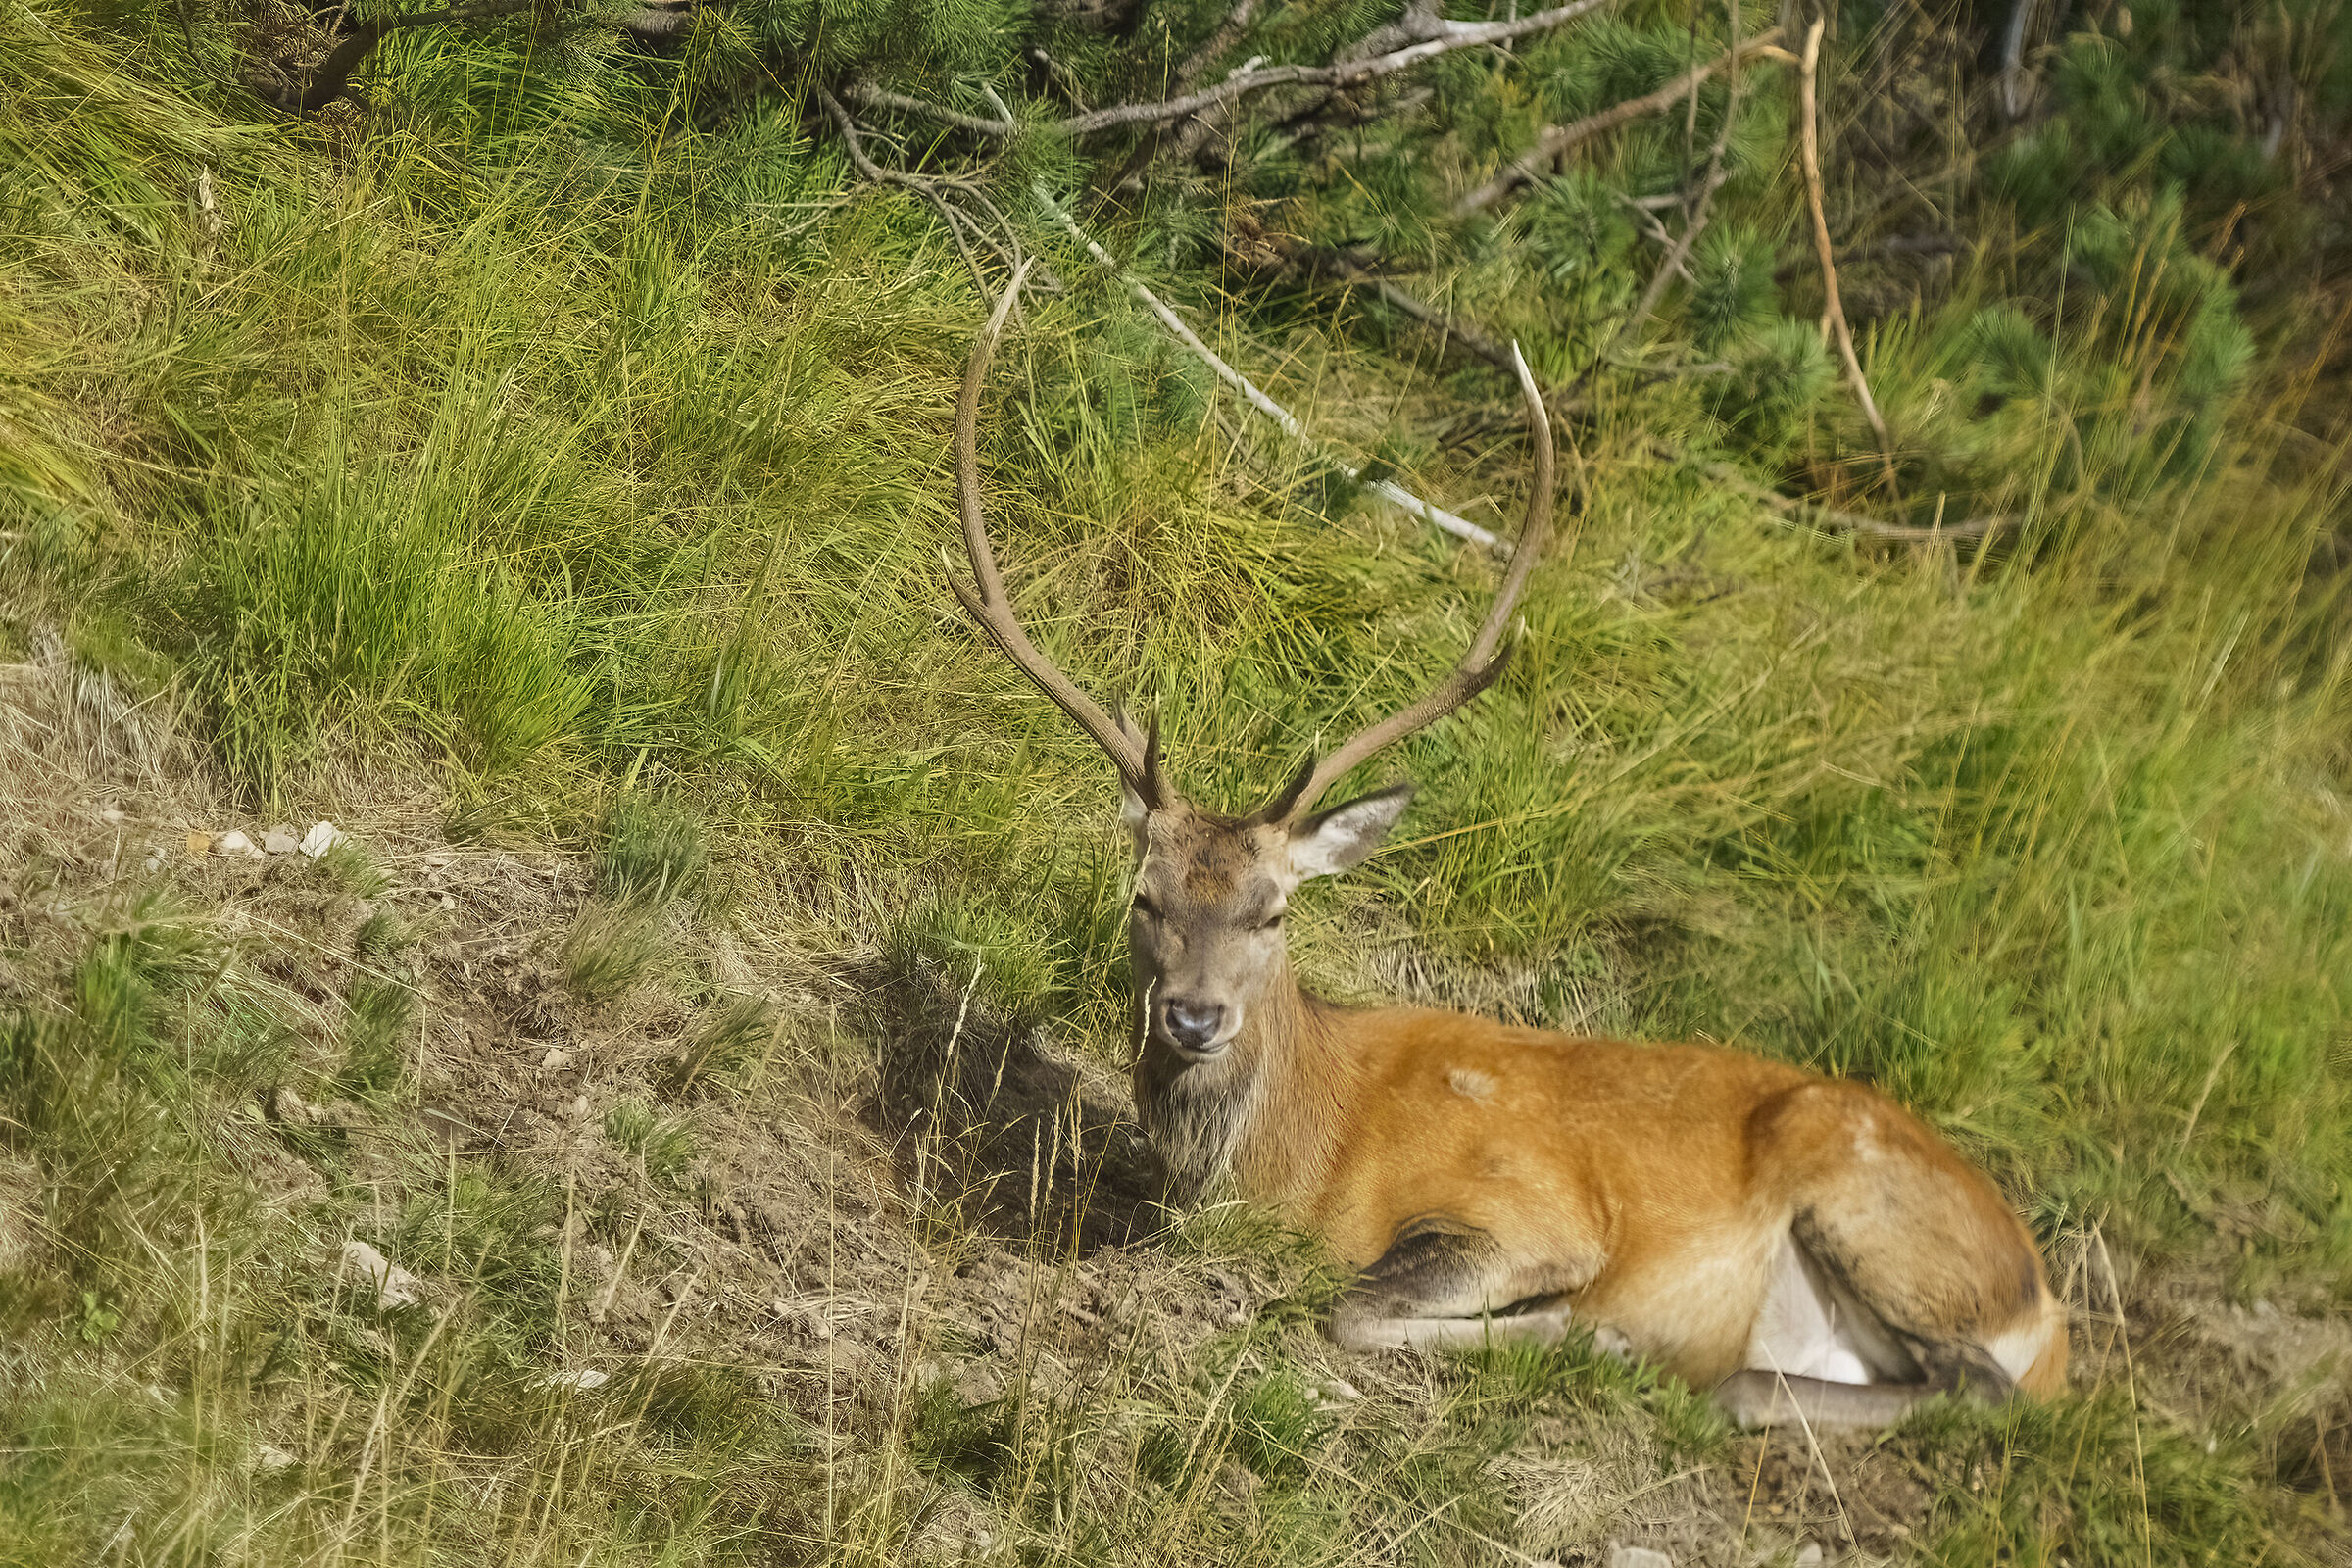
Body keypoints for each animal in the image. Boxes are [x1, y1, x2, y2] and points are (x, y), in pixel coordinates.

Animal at [941, 265, 2068, 1428]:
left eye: (1274, 909)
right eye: (1145, 894)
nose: (1195, 1016)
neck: (1302, 1156)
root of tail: (2048, 1306)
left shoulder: (1530, 1209)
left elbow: (1354, 1304)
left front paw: (1586, 1333)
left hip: (1878, 1208)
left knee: (1981, 1385)